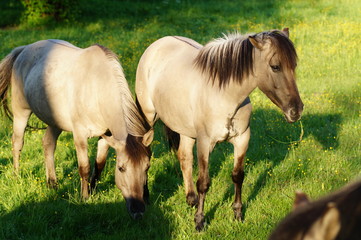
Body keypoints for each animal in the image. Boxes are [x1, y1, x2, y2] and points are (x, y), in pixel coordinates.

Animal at [0, 39, 153, 219]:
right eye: (121, 168)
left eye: (147, 167)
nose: (138, 211)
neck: (97, 87)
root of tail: (24, 49)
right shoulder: (80, 135)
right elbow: (84, 167)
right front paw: (85, 197)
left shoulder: (106, 136)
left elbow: (99, 164)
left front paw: (93, 190)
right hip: (21, 112)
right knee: (17, 143)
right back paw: (16, 176)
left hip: (55, 121)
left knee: (48, 144)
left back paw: (52, 183)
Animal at [136, 28, 302, 231]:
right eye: (275, 66)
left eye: (294, 65)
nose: (296, 110)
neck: (225, 95)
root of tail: (157, 44)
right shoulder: (204, 143)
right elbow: (204, 183)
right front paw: (200, 221)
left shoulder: (242, 139)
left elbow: (238, 176)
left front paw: (237, 214)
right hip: (148, 119)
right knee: (145, 153)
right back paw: (145, 197)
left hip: (185, 129)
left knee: (184, 157)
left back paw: (190, 198)